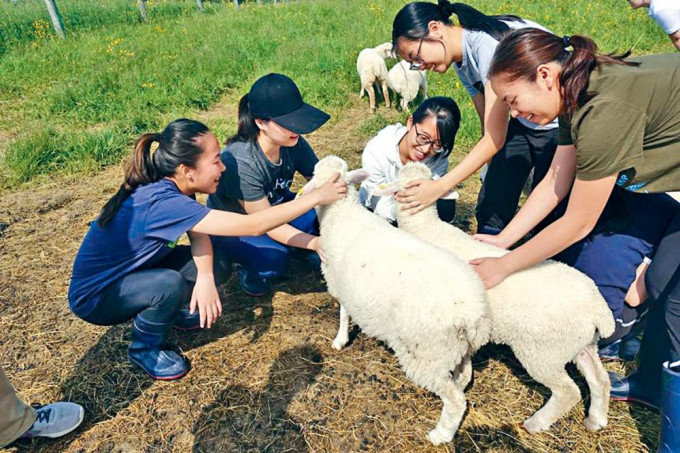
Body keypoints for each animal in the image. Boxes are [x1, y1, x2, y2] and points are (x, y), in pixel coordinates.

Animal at [306, 155, 492, 444]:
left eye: (314, 175)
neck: (341, 212)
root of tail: (473, 316)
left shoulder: (340, 283)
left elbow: (344, 313)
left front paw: (339, 340)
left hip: (427, 354)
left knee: (455, 400)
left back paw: (441, 434)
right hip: (457, 350)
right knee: (464, 377)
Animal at [388, 162, 616, 434]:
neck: (425, 228)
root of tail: (598, 310)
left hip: (543, 351)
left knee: (568, 392)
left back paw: (535, 423)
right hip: (580, 345)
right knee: (600, 379)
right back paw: (596, 419)